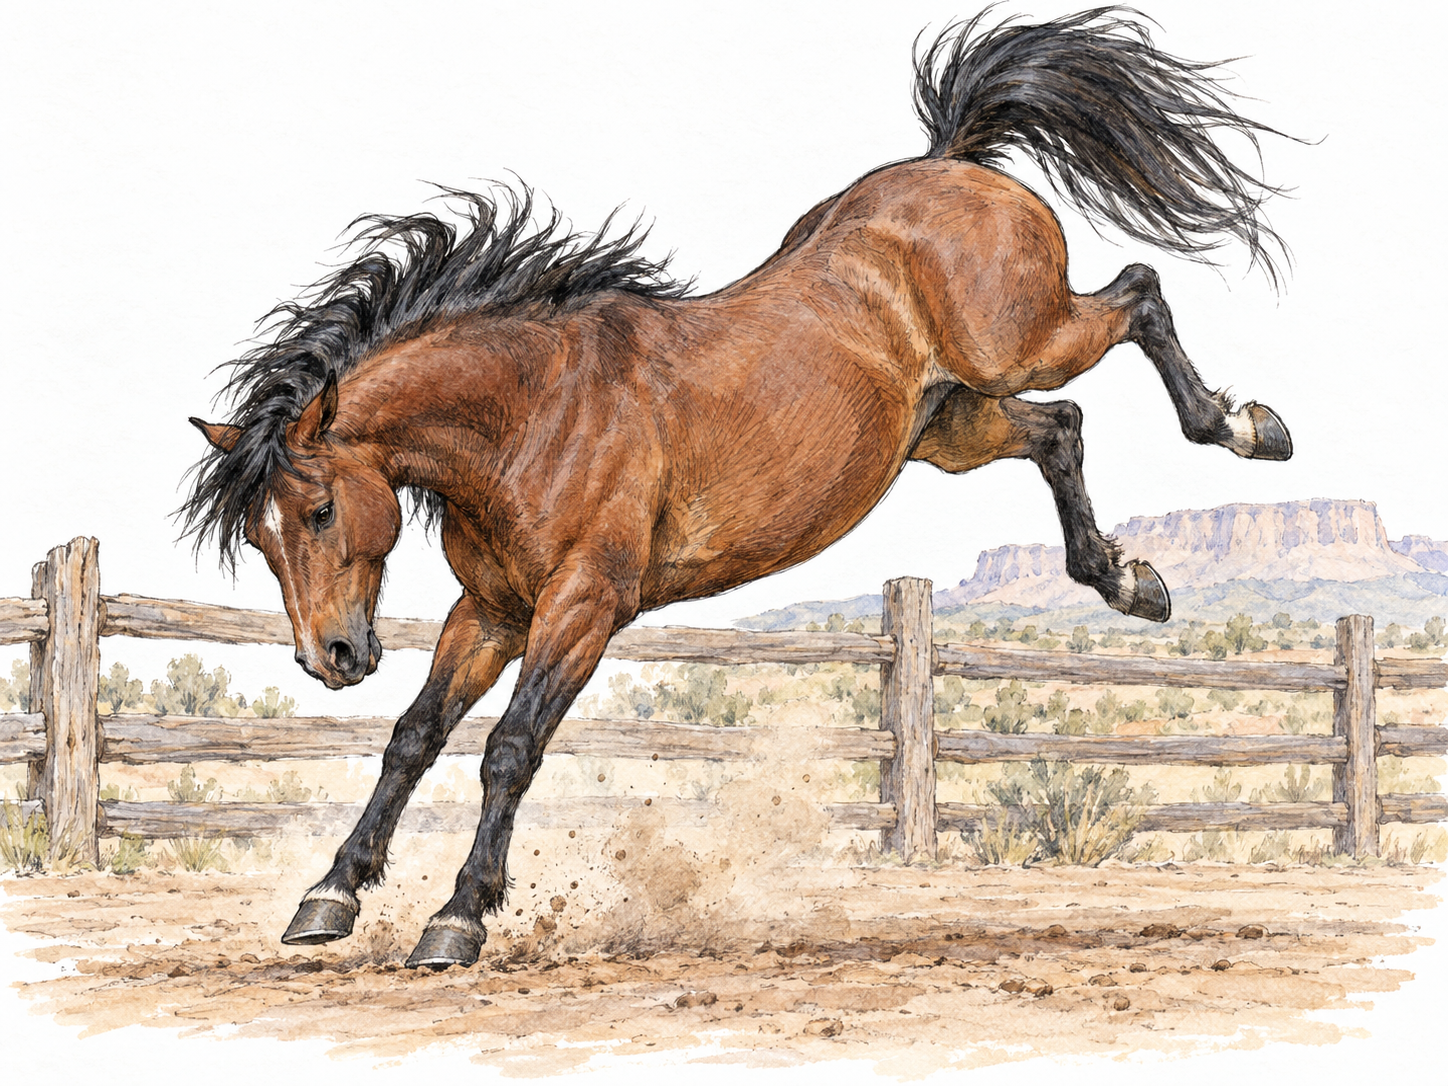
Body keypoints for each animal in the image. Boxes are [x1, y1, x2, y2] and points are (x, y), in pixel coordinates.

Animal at [182, 9, 1293, 969]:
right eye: (263, 540)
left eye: (320, 509)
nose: (329, 658)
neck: (536, 413)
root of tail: (951, 162)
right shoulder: (490, 610)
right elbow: (413, 739)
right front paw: (327, 896)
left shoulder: (583, 606)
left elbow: (509, 747)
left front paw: (457, 918)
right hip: (951, 424)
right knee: (1062, 430)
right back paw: (1130, 582)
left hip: (1022, 340)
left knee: (1138, 297)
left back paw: (1245, 428)